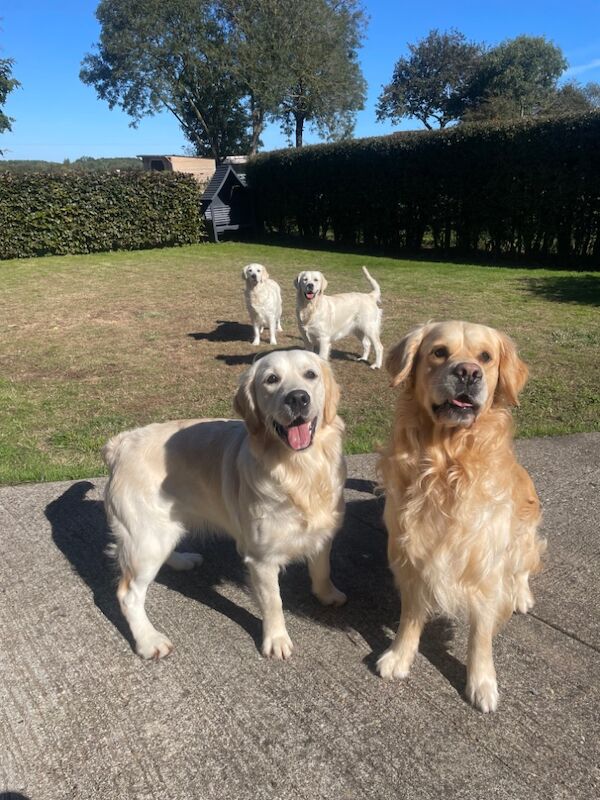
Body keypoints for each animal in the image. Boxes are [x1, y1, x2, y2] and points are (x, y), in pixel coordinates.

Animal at [103, 350, 346, 664]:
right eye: (271, 379)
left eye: (310, 374)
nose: (297, 398)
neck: (301, 471)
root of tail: (121, 444)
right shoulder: (262, 558)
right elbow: (274, 603)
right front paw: (276, 640)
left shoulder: (323, 533)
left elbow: (322, 569)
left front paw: (327, 594)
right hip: (145, 539)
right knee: (129, 595)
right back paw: (149, 641)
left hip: (163, 530)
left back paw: (182, 560)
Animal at [380, 318, 544, 712]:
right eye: (439, 352)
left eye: (485, 357)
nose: (468, 372)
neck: (446, 463)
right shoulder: (410, 555)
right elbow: (410, 616)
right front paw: (400, 655)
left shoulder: (485, 566)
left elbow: (480, 635)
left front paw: (482, 682)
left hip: (525, 535)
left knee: (523, 568)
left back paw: (521, 595)